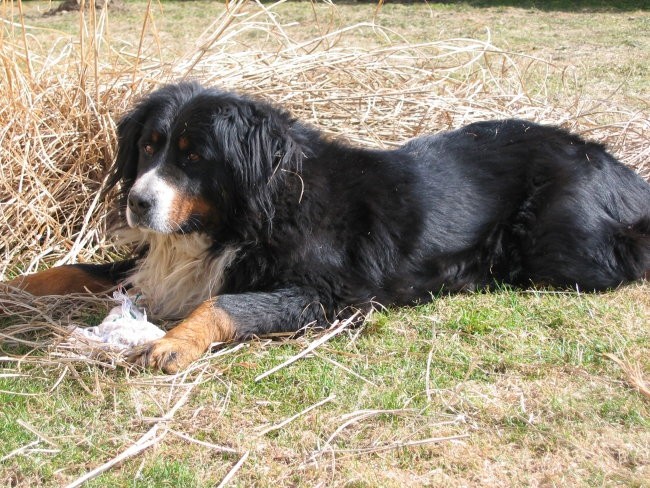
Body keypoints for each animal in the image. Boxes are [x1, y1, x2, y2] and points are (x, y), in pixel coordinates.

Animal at [5, 83, 648, 374]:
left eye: (194, 157)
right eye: (148, 146)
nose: (139, 204)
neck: (243, 215)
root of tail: (615, 166)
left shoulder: (326, 294)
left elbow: (226, 304)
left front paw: (172, 342)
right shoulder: (157, 262)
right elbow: (75, 268)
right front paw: (14, 288)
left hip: (561, 249)